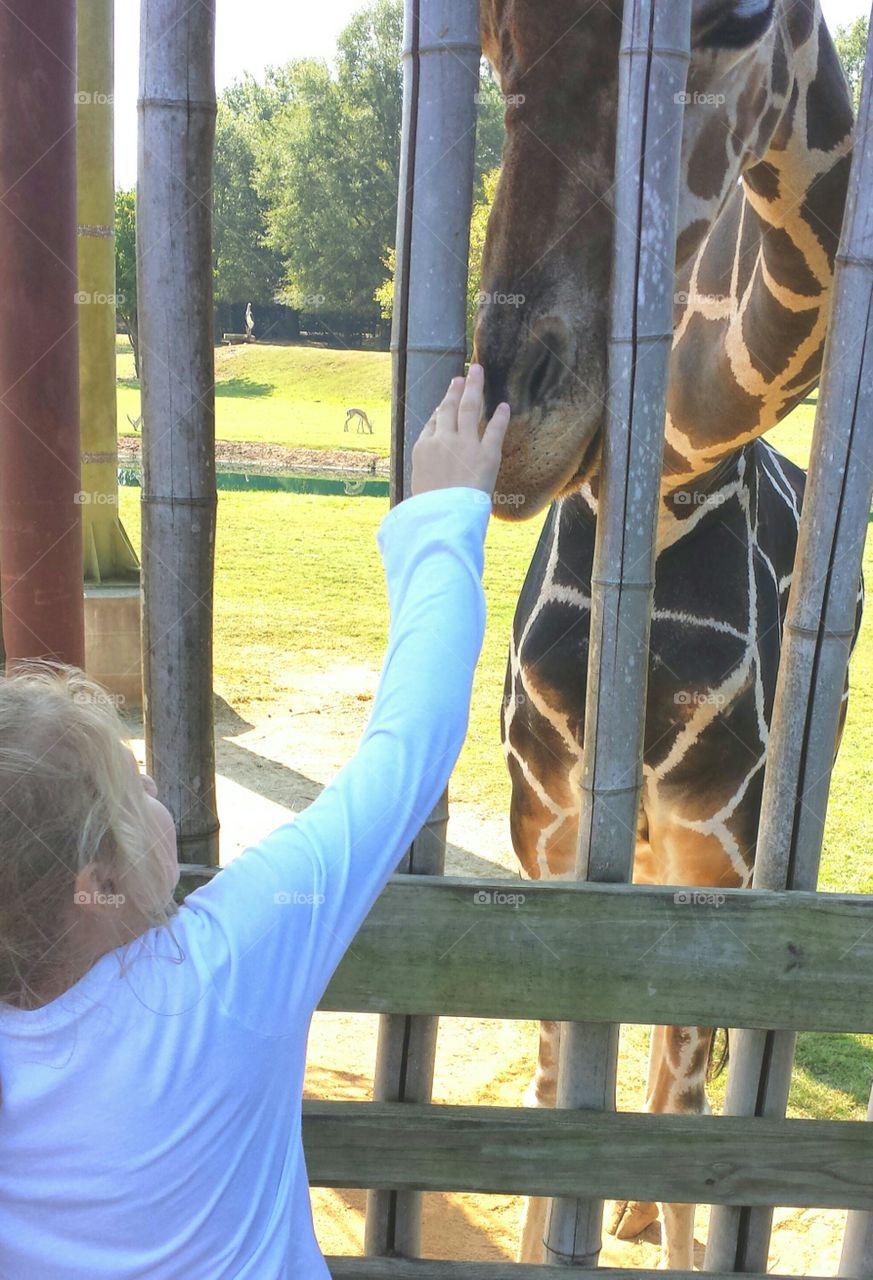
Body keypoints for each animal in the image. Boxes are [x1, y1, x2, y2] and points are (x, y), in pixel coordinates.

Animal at [472, 0, 856, 1269]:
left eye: (738, 18)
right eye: (489, 34)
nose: (517, 419)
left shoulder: (718, 843)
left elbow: (688, 1108)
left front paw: (649, 1212)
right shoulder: (544, 818)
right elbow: (558, 1071)